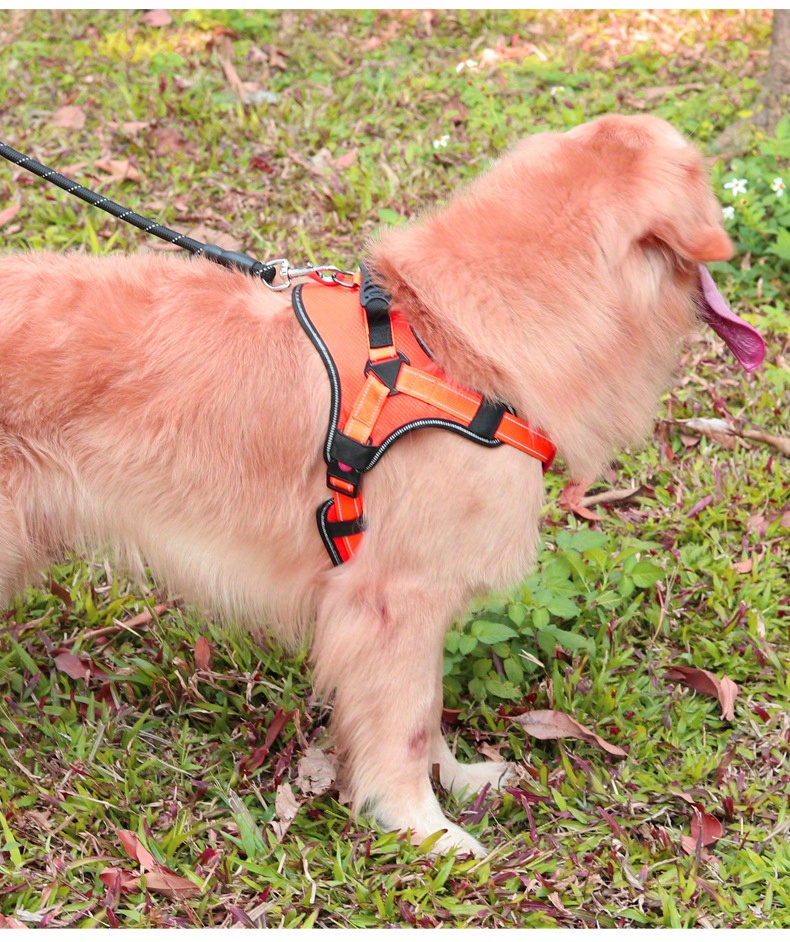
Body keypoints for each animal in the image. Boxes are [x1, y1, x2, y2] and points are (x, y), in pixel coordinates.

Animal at [0, 114, 760, 857]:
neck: (453, 345)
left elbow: (422, 706)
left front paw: (457, 780)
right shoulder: (394, 599)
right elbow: (407, 723)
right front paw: (424, 828)